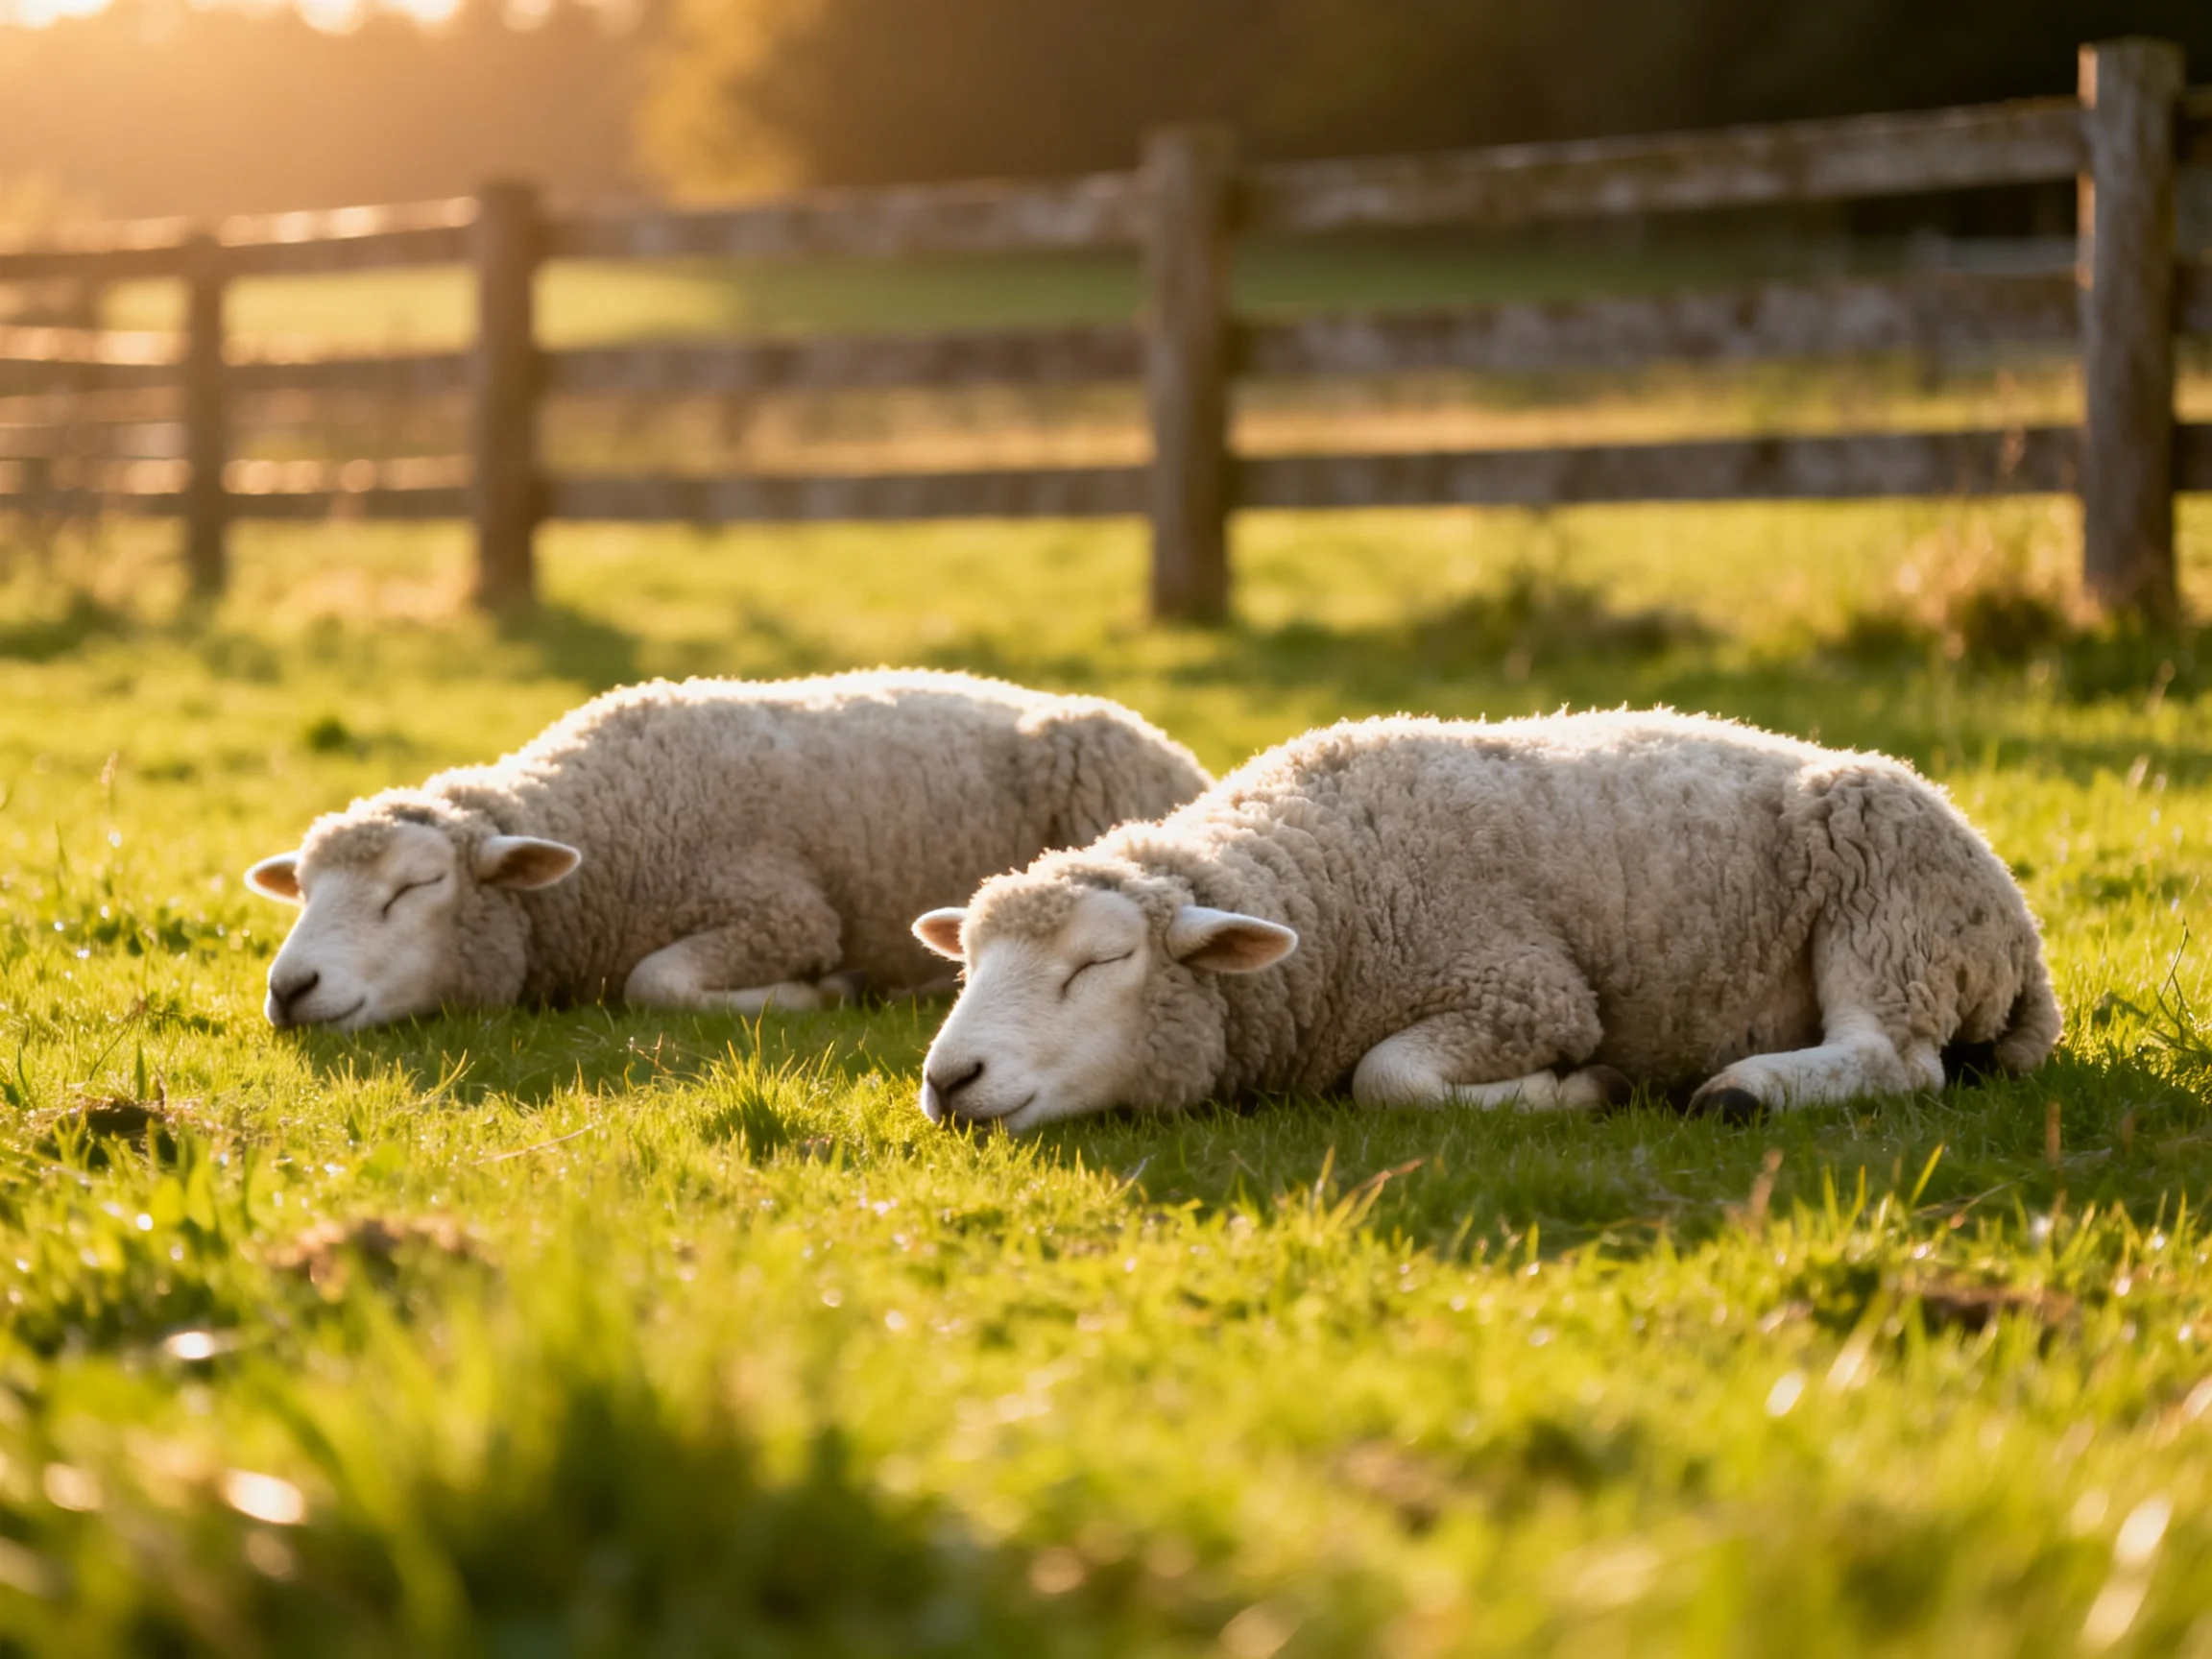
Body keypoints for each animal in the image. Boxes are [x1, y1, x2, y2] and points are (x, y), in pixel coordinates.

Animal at [244, 669, 1209, 1031]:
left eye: (415, 887)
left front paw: (823, 992)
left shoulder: (780, 912)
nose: (291, 989)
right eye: (304, 891)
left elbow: (654, 983)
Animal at [910, 708, 2059, 1131]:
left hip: (1890, 902)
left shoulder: (1523, 990)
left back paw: (1744, 1090)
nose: (949, 1079)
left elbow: (1389, 1079)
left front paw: (1582, 1090)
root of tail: (2022, 935)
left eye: (1098, 965)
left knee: (1895, 1059)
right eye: (966, 965)